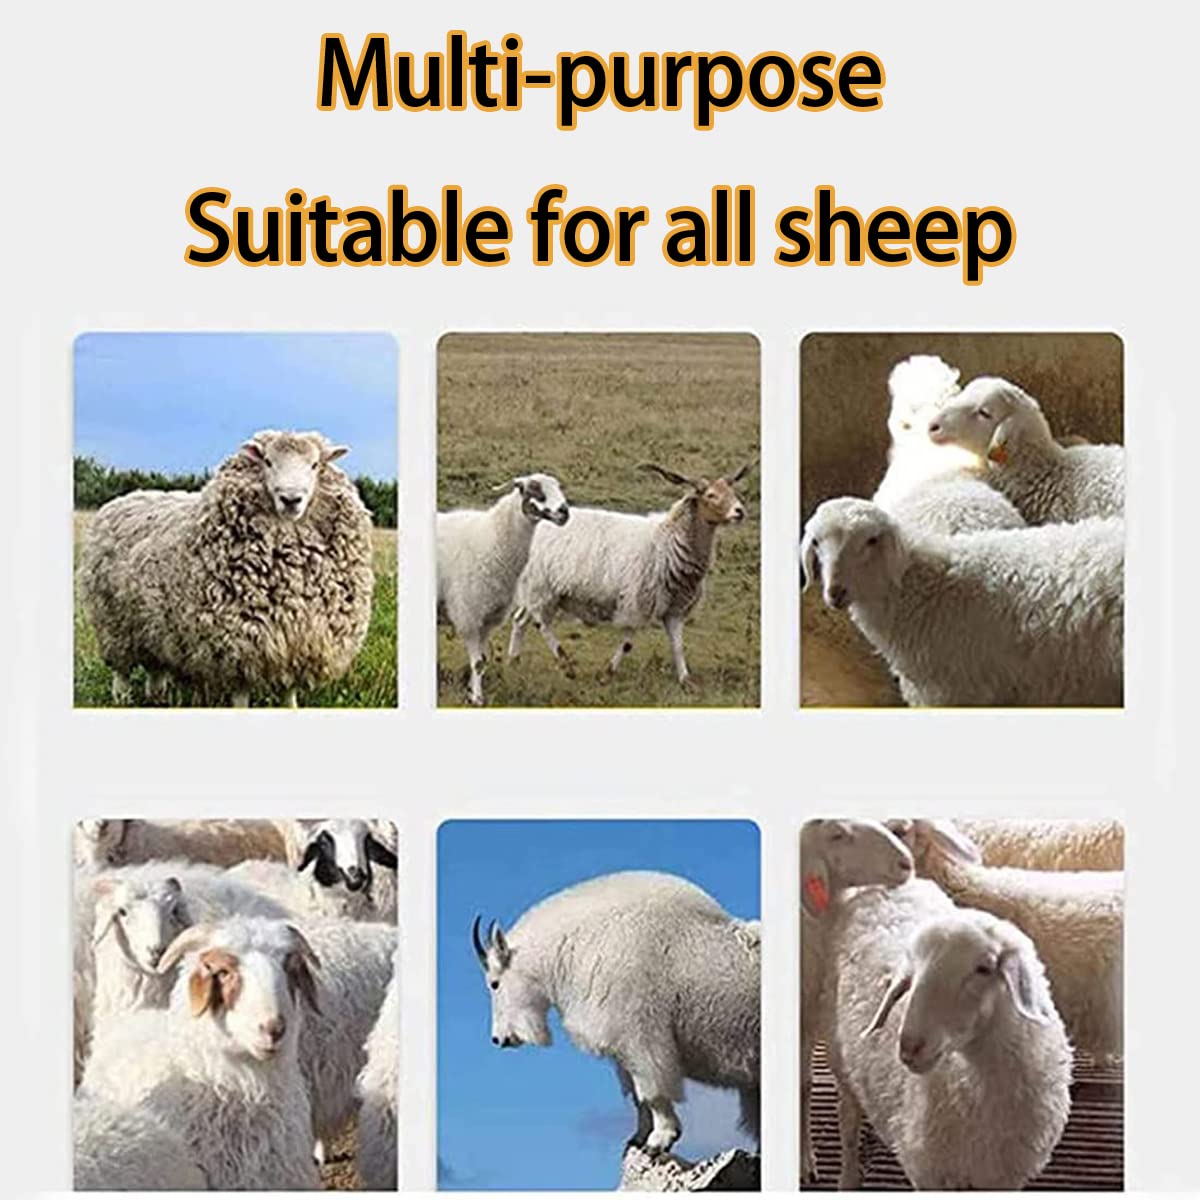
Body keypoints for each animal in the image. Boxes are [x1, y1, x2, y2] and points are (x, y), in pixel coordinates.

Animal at [78, 429, 375, 707]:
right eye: (268, 461)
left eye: (314, 465)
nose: (291, 499)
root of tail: (125, 497)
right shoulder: (237, 648)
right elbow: (241, 697)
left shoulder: (299, 642)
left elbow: (289, 694)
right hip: (114, 623)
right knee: (122, 670)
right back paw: (121, 698)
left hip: (154, 626)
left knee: (155, 666)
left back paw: (158, 695)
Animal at [437, 473, 570, 705]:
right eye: (534, 489)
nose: (564, 512)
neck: (492, 539)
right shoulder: (468, 615)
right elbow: (478, 662)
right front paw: (477, 698)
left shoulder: (487, 619)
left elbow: (482, 660)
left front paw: (471, 692)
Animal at [473, 870, 759, 1153]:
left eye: (494, 983)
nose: (499, 1039)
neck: (577, 945)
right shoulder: (622, 1049)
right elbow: (637, 1096)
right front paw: (638, 1138)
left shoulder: (642, 1037)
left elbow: (652, 1091)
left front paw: (660, 1139)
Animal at [508, 461, 753, 686]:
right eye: (711, 495)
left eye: (732, 491)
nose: (739, 512)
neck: (667, 541)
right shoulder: (637, 602)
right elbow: (627, 644)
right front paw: (608, 673)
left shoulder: (674, 608)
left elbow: (677, 645)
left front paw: (686, 681)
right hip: (542, 586)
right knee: (542, 624)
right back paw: (565, 664)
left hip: (535, 588)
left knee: (520, 619)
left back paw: (513, 661)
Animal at [821, 882, 1072, 1189]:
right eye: (912, 974)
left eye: (984, 968)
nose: (909, 1047)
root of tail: (878, 887)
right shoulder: (927, 1171)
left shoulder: (1004, 1176)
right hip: (839, 1057)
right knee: (848, 1121)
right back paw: (848, 1177)